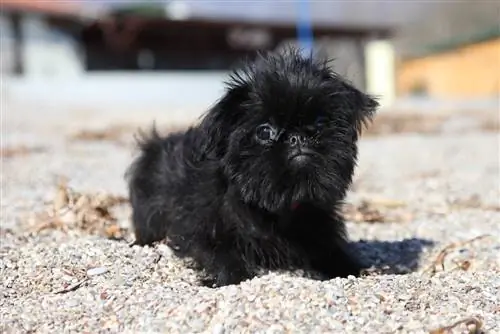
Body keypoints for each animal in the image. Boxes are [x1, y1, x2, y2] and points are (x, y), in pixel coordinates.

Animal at [126, 47, 378, 288]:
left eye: (319, 123)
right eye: (265, 131)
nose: (297, 137)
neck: (278, 205)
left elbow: (333, 252)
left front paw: (354, 269)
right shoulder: (200, 229)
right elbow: (220, 255)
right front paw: (229, 276)